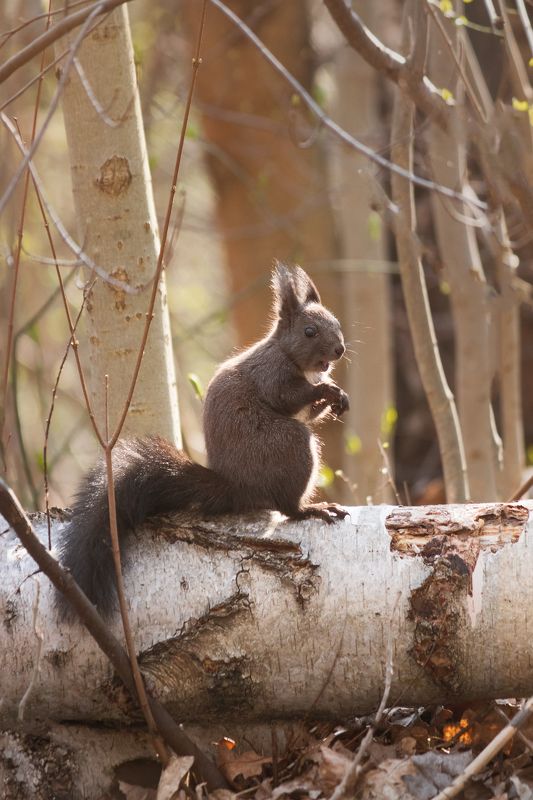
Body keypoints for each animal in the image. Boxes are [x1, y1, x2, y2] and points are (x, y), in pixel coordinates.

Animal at [56, 262, 349, 619]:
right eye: (309, 331)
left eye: (336, 323)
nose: (339, 350)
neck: (286, 353)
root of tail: (236, 487)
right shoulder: (272, 375)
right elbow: (289, 398)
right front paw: (326, 390)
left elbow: (311, 410)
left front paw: (338, 397)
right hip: (292, 446)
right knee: (287, 506)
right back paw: (309, 509)